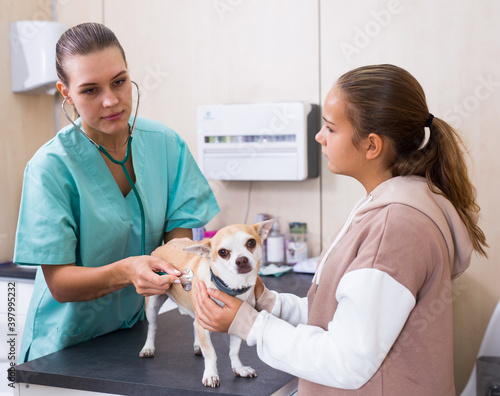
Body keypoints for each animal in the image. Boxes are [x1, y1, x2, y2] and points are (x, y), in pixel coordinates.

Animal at [140, 221, 274, 388]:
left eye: (251, 242)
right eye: (223, 252)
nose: (241, 260)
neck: (232, 286)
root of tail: (163, 246)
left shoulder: (235, 322)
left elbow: (234, 350)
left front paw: (239, 368)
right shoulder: (204, 328)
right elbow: (211, 353)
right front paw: (211, 374)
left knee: (194, 325)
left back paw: (198, 345)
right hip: (152, 303)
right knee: (152, 326)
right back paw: (148, 347)